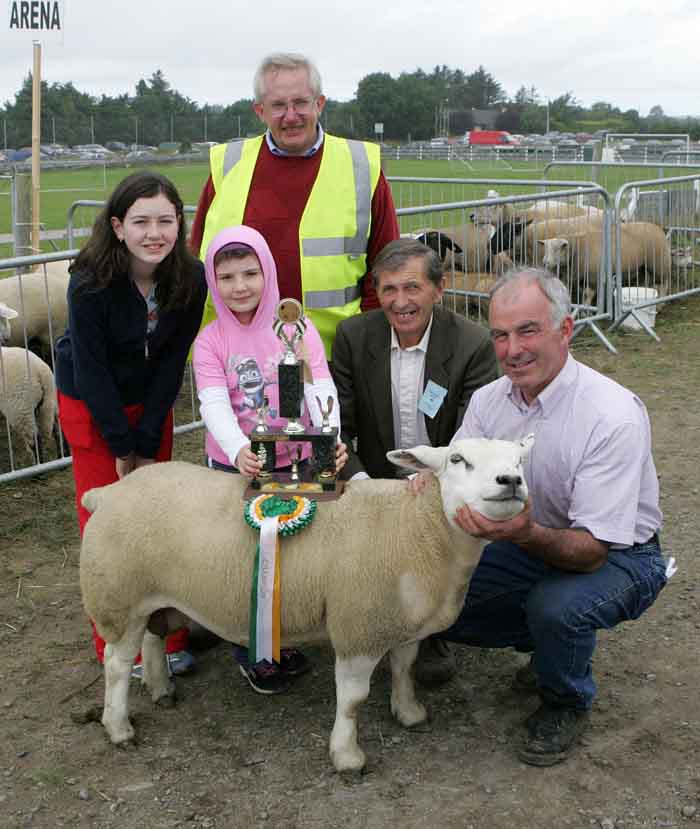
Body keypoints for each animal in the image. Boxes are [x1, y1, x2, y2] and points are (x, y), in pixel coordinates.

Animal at [79, 436, 532, 772]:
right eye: (457, 459)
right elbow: (352, 699)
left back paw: (161, 689)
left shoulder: (400, 621)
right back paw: (119, 728)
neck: (418, 524)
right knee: (118, 664)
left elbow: (405, 670)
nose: (510, 480)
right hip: (117, 593)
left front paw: (409, 713)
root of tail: (106, 493)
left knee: (154, 636)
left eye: (519, 459)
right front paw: (347, 756)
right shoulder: (357, 627)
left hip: (152, 592)